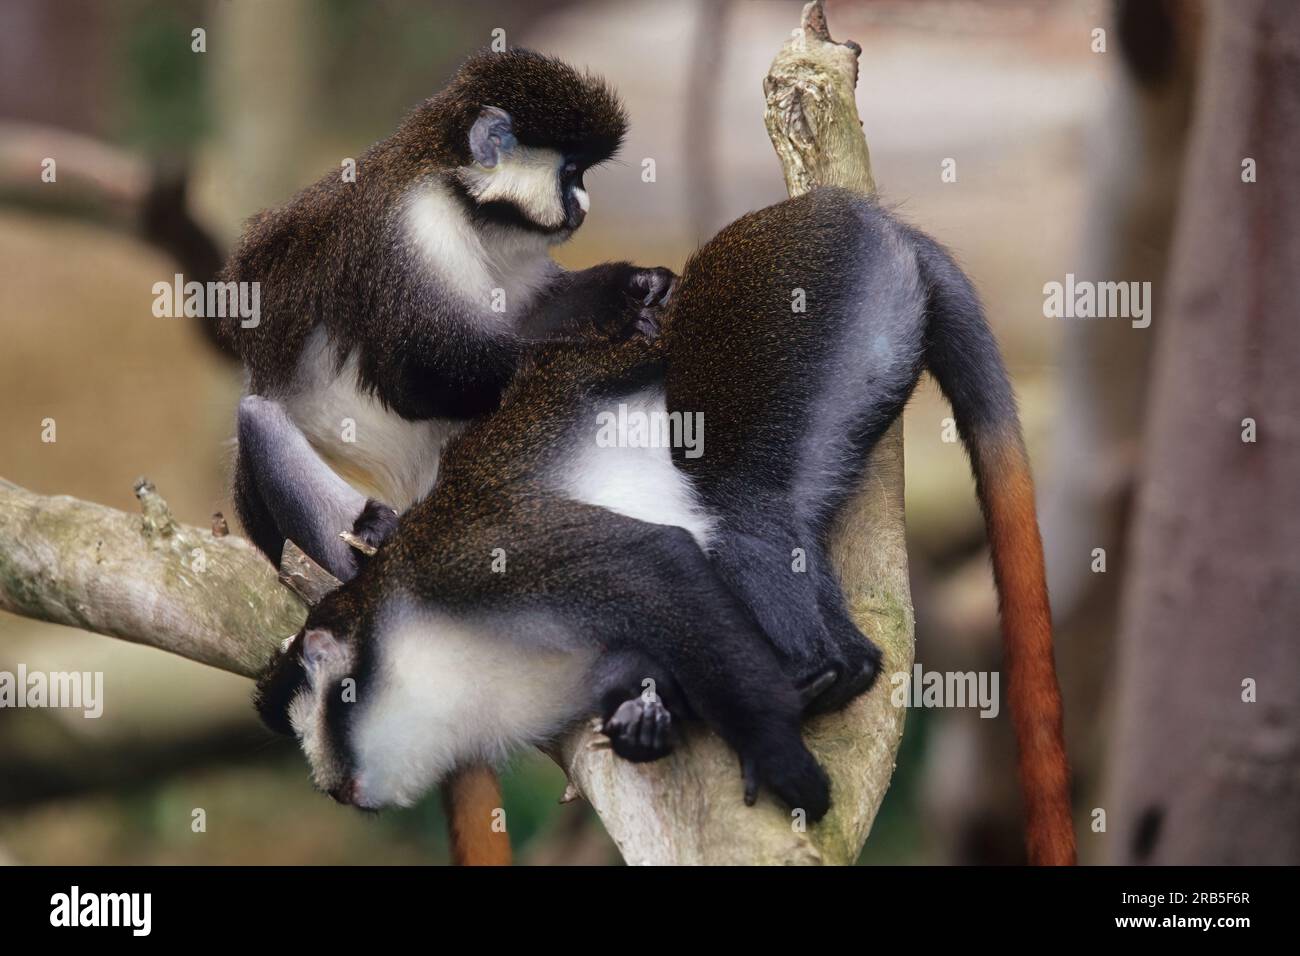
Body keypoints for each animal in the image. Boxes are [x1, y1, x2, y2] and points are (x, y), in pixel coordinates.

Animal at [253, 186, 1075, 865]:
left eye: (330, 714)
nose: (338, 787)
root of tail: (861, 216)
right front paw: (645, 722)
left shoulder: (471, 558)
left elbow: (653, 560)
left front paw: (778, 756)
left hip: (787, 294)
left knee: (734, 505)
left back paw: (825, 669)